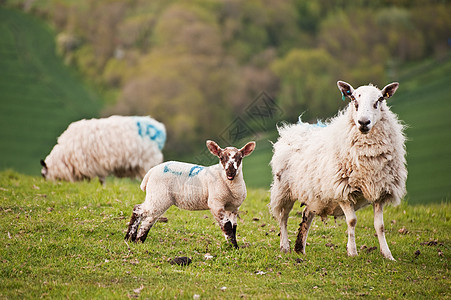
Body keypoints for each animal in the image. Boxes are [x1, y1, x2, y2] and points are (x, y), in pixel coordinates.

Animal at [125, 141, 256, 248]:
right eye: (221, 157)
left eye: (240, 158)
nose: (230, 172)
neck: (228, 182)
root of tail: (151, 171)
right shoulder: (216, 204)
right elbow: (227, 225)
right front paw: (234, 247)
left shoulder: (233, 208)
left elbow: (233, 227)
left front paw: (232, 245)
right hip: (159, 195)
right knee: (138, 209)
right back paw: (129, 238)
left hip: (158, 198)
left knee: (148, 219)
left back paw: (138, 240)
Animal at [270, 80, 408, 260]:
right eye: (354, 100)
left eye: (379, 100)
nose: (363, 122)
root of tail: (294, 128)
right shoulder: (342, 190)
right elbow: (352, 221)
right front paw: (353, 252)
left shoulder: (380, 191)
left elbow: (380, 225)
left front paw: (387, 255)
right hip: (284, 189)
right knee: (283, 217)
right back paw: (285, 246)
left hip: (314, 194)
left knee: (307, 213)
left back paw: (300, 247)